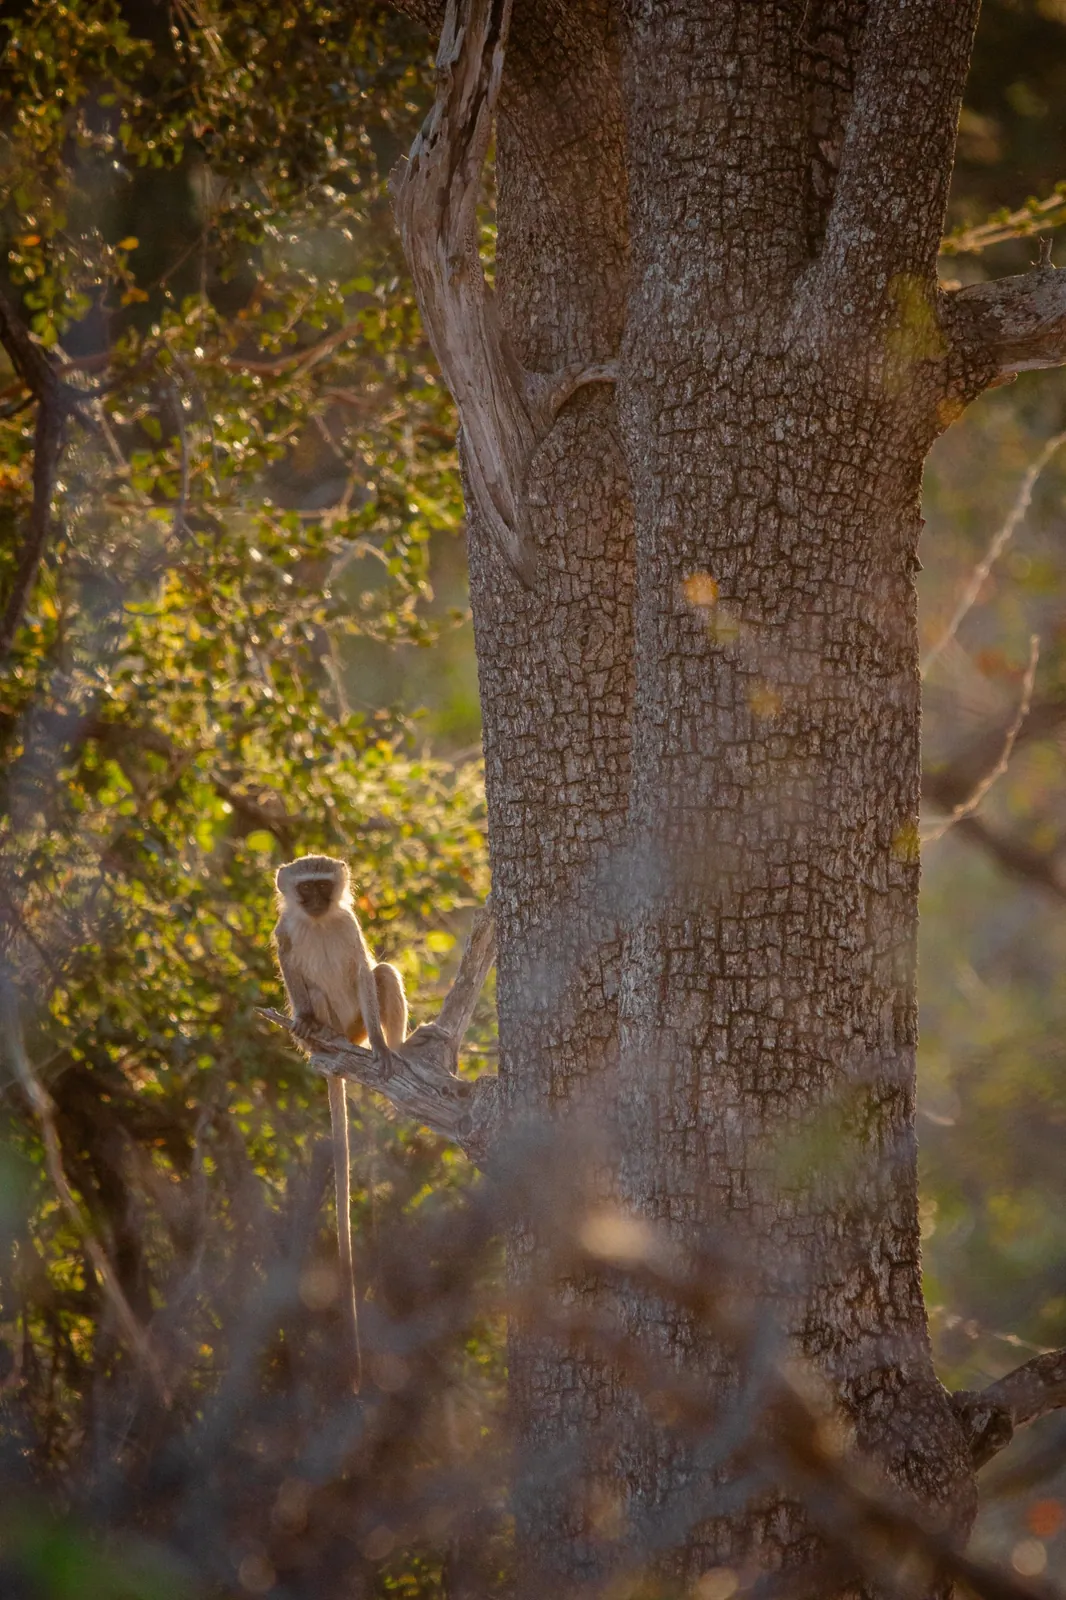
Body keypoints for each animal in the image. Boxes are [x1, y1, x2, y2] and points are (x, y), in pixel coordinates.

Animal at [272, 855, 408, 1392]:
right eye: (304, 887)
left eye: (322, 885)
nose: (312, 901)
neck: (318, 922)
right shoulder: (285, 930)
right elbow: (288, 962)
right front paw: (302, 1020)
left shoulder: (348, 926)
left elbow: (363, 970)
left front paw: (385, 1048)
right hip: (332, 1020)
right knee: (313, 999)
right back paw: (312, 1031)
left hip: (354, 1024)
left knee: (383, 973)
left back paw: (394, 1048)